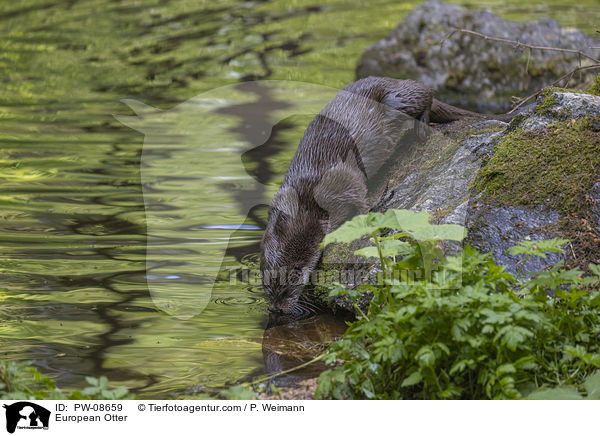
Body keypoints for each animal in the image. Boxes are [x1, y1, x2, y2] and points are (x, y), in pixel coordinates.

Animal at [258, 76, 510, 316]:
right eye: (267, 288)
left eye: (286, 289)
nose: (276, 309)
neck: (303, 204)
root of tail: (391, 80)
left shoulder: (339, 182)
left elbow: (359, 196)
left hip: (396, 99)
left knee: (424, 90)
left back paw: (422, 126)